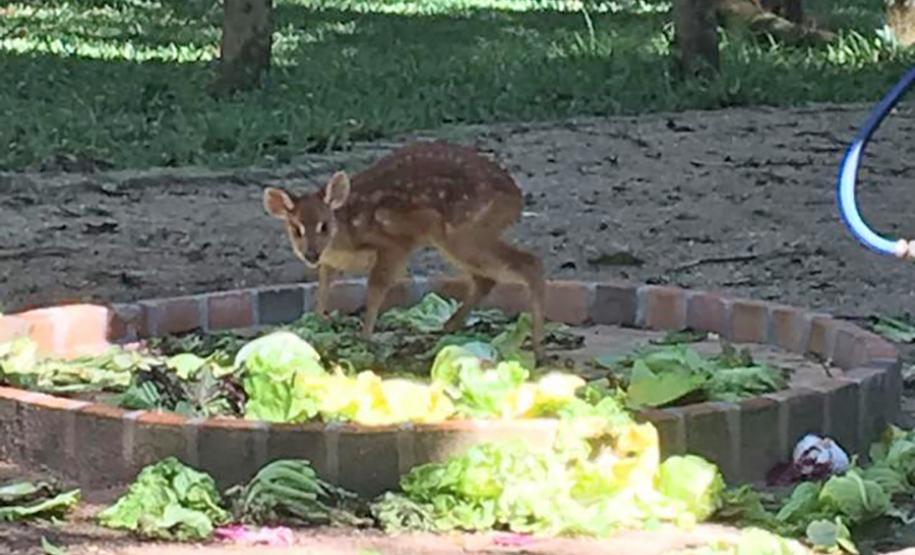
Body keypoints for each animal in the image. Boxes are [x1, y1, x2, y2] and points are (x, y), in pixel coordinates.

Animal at [262, 141, 546, 362]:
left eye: (324, 225)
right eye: (296, 229)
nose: (310, 254)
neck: (348, 233)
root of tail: (516, 199)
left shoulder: (394, 243)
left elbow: (375, 288)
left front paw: (364, 338)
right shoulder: (330, 262)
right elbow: (322, 289)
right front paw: (318, 325)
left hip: (464, 232)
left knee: (528, 262)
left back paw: (537, 347)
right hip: (458, 239)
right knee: (486, 279)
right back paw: (446, 328)